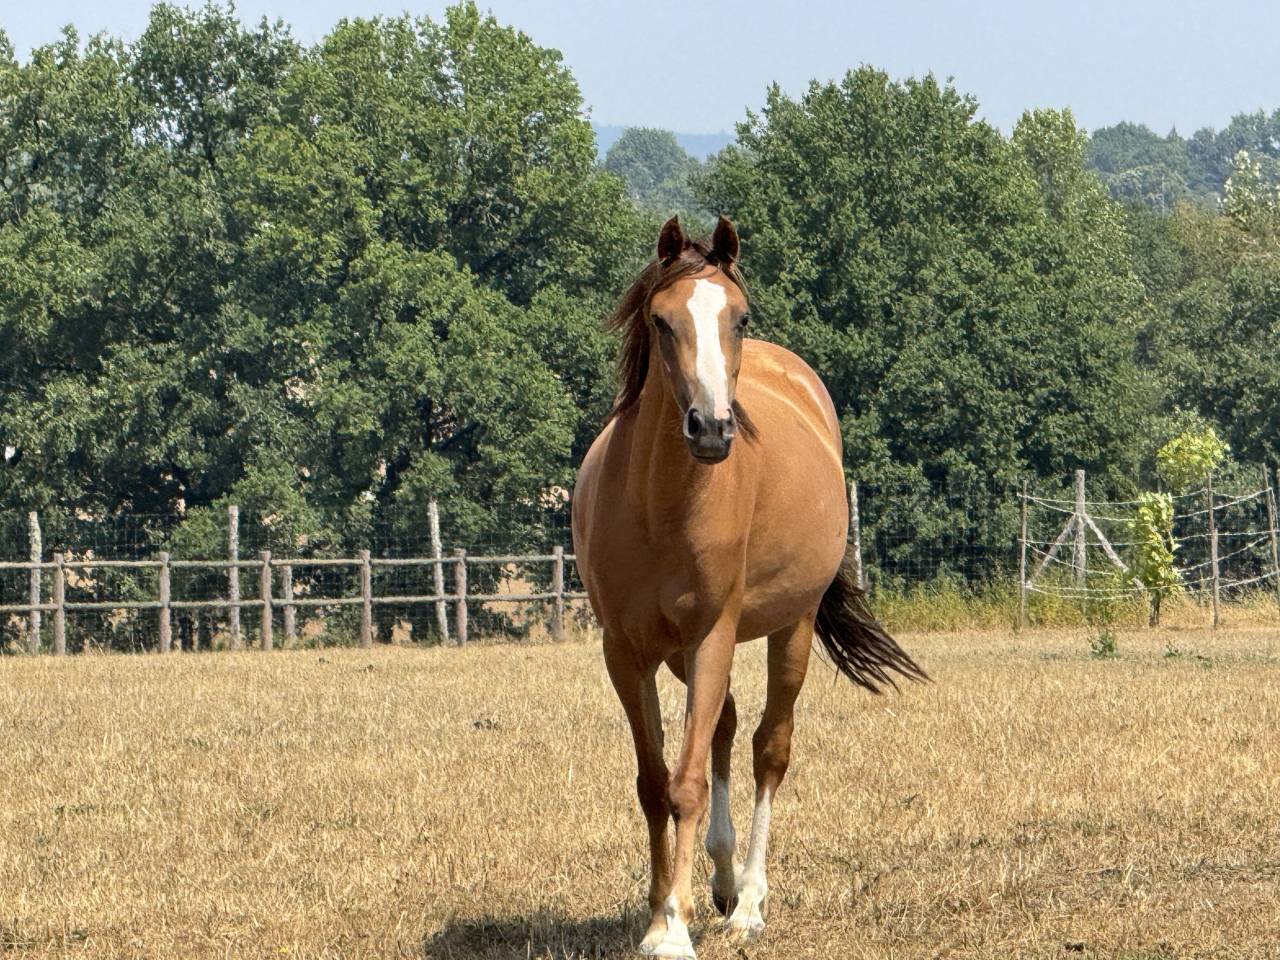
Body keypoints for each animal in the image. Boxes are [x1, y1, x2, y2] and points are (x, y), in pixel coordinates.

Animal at [571, 214, 926, 958]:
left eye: (739, 316)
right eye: (662, 320)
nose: (711, 428)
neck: (658, 505)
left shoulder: (712, 633)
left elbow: (687, 783)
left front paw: (673, 928)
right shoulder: (627, 652)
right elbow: (654, 782)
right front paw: (659, 916)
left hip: (788, 629)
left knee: (769, 747)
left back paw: (750, 904)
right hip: (685, 654)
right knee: (729, 727)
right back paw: (725, 880)